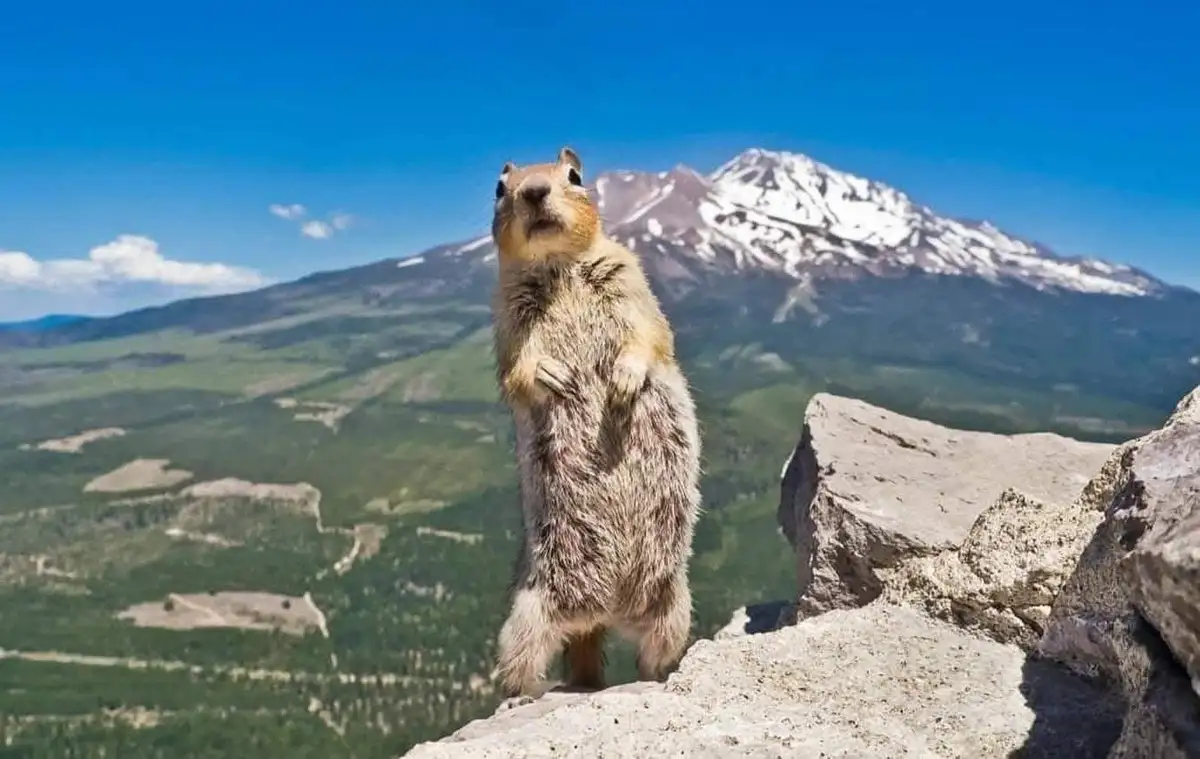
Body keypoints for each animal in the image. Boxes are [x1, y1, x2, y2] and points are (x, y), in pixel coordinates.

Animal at [488, 146, 703, 699]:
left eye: (574, 176)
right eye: (499, 188)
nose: (533, 191)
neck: (559, 267)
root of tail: (602, 613)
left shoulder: (631, 280)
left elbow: (651, 336)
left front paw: (624, 379)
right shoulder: (505, 316)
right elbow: (516, 368)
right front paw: (553, 375)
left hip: (674, 608)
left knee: (654, 655)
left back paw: (658, 678)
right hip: (528, 614)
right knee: (520, 665)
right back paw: (525, 695)